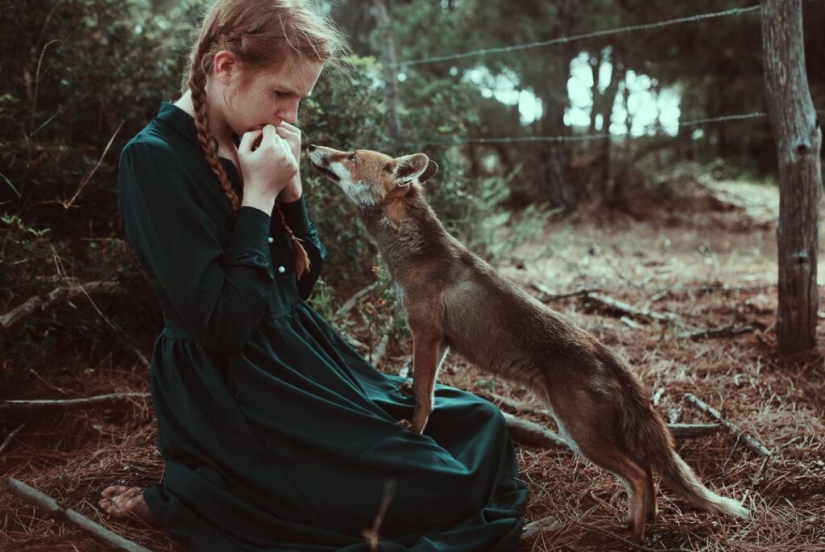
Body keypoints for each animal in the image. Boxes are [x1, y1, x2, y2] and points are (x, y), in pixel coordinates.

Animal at [306, 143, 748, 544]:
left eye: (349, 155)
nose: (311, 145)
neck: (415, 254)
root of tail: (606, 353)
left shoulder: (426, 333)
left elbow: (424, 399)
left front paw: (414, 432)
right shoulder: (441, 339)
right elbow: (422, 385)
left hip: (580, 435)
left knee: (639, 475)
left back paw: (633, 536)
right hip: (595, 434)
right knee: (648, 470)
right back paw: (645, 521)